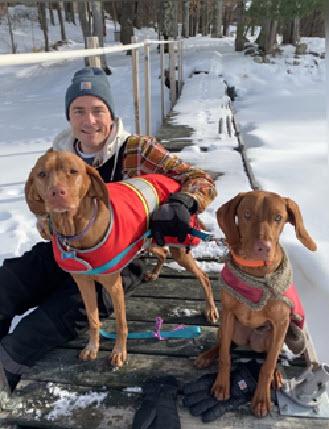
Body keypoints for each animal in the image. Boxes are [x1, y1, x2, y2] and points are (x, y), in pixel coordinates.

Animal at [195, 191, 316, 414]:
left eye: (278, 217)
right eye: (247, 214)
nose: (263, 248)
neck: (256, 272)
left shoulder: (281, 323)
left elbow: (267, 366)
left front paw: (261, 399)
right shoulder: (228, 313)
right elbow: (225, 356)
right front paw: (222, 385)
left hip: (275, 336)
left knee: (271, 357)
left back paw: (276, 375)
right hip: (230, 329)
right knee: (224, 343)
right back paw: (208, 355)